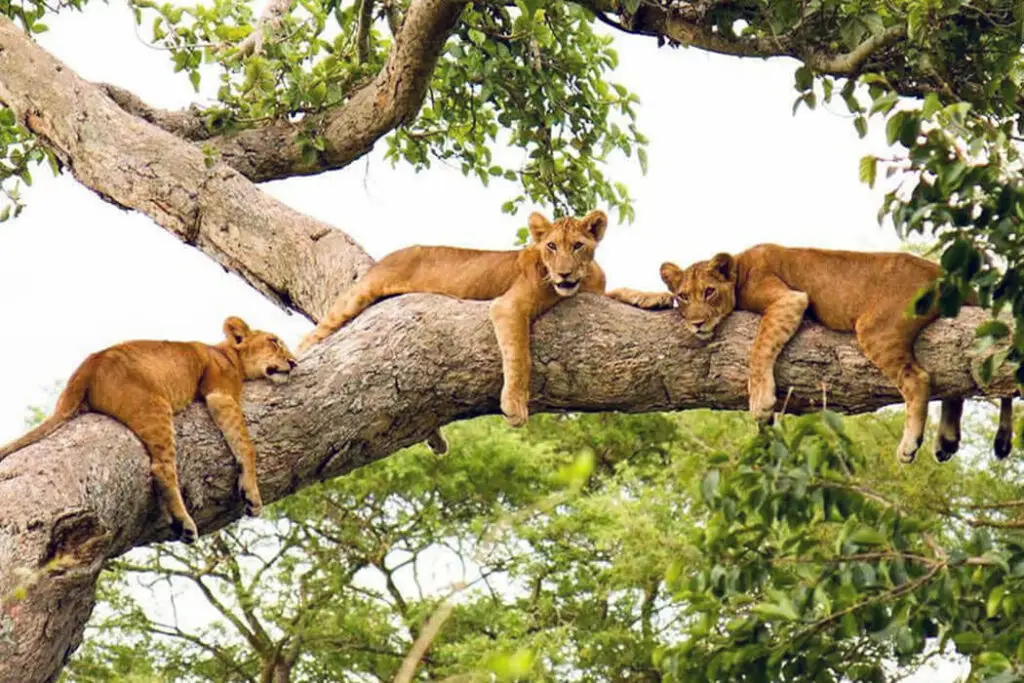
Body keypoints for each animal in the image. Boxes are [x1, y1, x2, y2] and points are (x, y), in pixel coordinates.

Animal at [0, 317, 297, 543]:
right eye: (274, 341)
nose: (294, 362)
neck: (226, 353)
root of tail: (89, 365)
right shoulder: (220, 393)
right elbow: (246, 445)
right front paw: (252, 495)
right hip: (155, 406)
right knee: (161, 468)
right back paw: (183, 523)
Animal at [297, 210, 609, 428]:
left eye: (577, 246)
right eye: (552, 246)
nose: (564, 274)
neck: (583, 279)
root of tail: (390, 255)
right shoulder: (508, 306)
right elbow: (520, 356)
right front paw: (515, 404)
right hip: (359, 295)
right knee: (311, 336)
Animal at [609, 244, 1013, 464]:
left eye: (709, 292)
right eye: (683, 297)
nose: (695, 324)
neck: (739, 265)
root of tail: (945, 273)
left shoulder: (789, 299)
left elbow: (759, 348)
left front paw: (761, 401)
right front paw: (627, 294)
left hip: (876, 328)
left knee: (920, 379)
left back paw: (910, 444)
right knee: (954, 383)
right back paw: (947, 440)